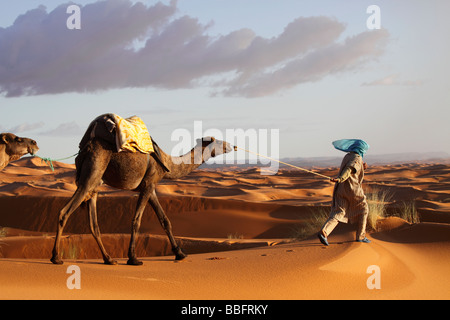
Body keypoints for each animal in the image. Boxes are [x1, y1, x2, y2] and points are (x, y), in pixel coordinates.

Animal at [51, 116, 236, 266]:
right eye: (219, 141)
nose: (232, 145)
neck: (167, 161)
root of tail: (86, 148)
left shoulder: (151, 187)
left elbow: (164, 220)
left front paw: (180, 253)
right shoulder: (148, 184)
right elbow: (136, 220)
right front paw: (133, 258)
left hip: (95, 184)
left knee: (93, 224)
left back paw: (109, 259)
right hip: (91, 175)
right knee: (64, 212)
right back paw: (56, 258)